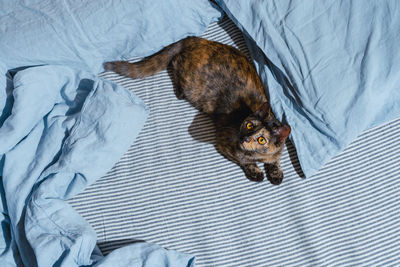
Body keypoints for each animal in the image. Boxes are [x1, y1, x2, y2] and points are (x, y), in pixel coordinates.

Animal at [103, 36, 290, 185]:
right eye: (250, 125)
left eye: (261, 140)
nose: (244, 138)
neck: (259, 156)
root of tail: (196, 39)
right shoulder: (224, 143)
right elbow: (243, 160)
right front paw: (256, 172)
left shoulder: (276, 152)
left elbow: (276, 160)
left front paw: (276, 174)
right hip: (191, 83)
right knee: (175, 62)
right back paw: (179, 91)